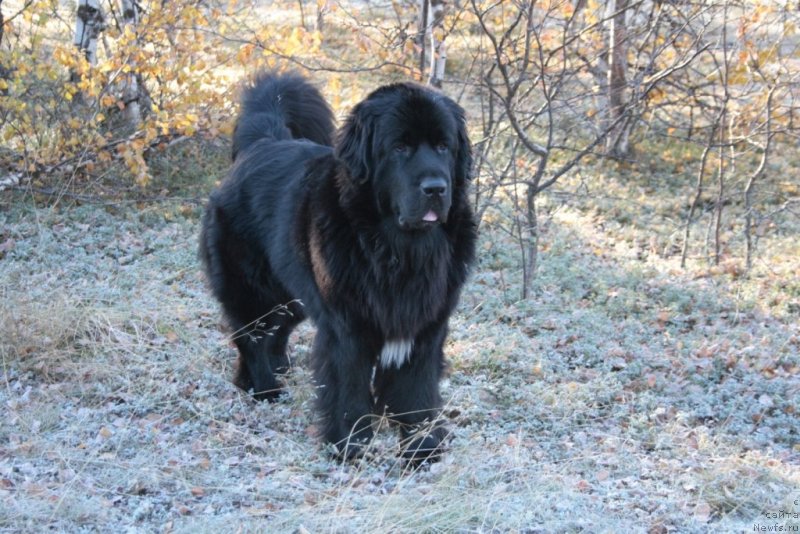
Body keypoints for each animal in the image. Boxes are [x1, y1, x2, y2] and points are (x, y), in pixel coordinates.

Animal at [200, 71, 476, 462]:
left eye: (443, 146)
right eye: (400, 148)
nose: (436, 188)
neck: (401, 249)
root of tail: (263, 143)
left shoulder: (426, 326)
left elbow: (417, 390)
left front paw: (422, 450)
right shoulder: (348, 327)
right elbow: (349, 387)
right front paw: (350, 446)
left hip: (294, 293)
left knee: (277, 330)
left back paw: (274, 372)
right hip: (251, 288)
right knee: (252, 337)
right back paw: (265, 389)